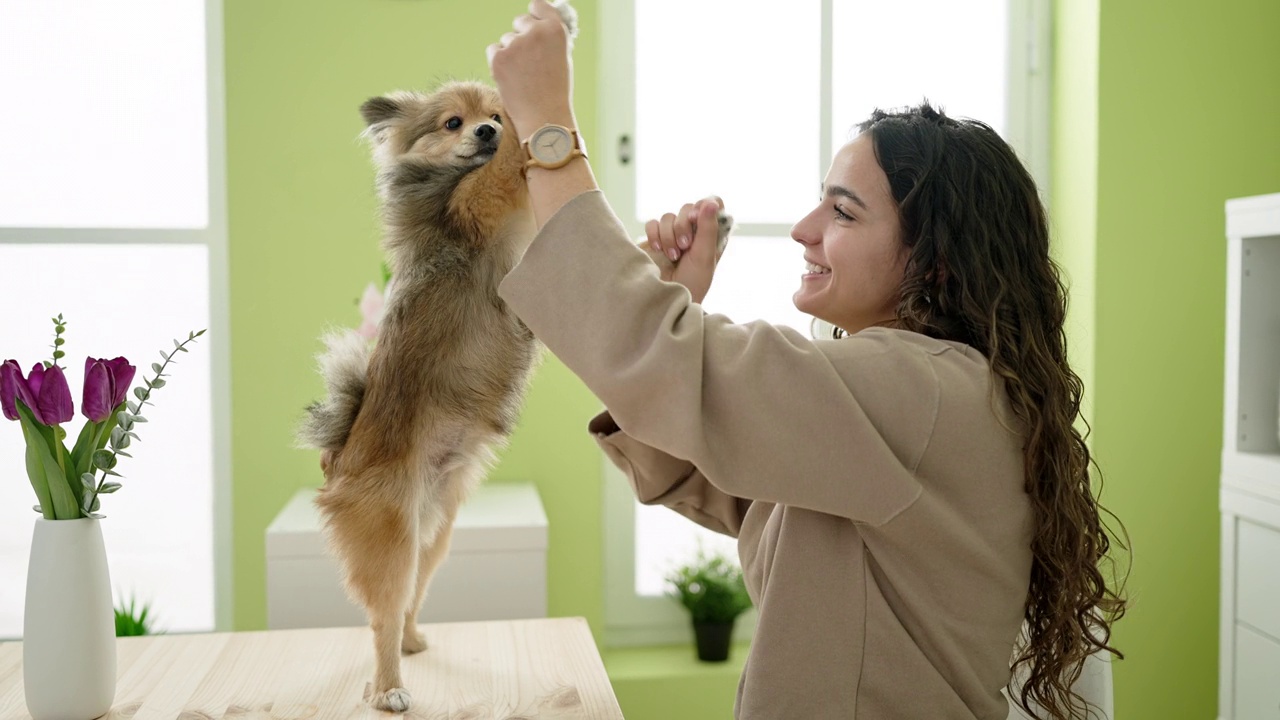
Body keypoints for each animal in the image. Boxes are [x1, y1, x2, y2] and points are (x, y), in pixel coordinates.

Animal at [293, 5, 578, 702]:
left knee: (405, 607)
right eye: (453, 123)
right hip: (393, 537)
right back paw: (390, 687)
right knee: (381, 615)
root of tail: (338, 458)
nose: (487, 129)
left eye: (492, 115)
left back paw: (414, 641)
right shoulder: (475, 202)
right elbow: (503, 171)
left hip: (437, 534)